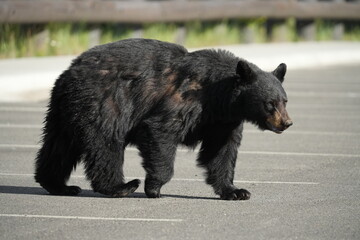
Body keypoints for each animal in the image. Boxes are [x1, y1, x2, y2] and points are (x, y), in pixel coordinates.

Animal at [34, 39, 292, 201]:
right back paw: (122, 186)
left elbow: (220, 152)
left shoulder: (222, 122)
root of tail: (69, 71)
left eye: (285, 101)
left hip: (65, 109)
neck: (220, 96)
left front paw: (236, 191)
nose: (286, 123)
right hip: (103, 101)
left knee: (59, 145)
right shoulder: (186, 99)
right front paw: (154, 187)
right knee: (105, 142)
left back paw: (58, 184)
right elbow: (160, 131)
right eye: (270, 103)